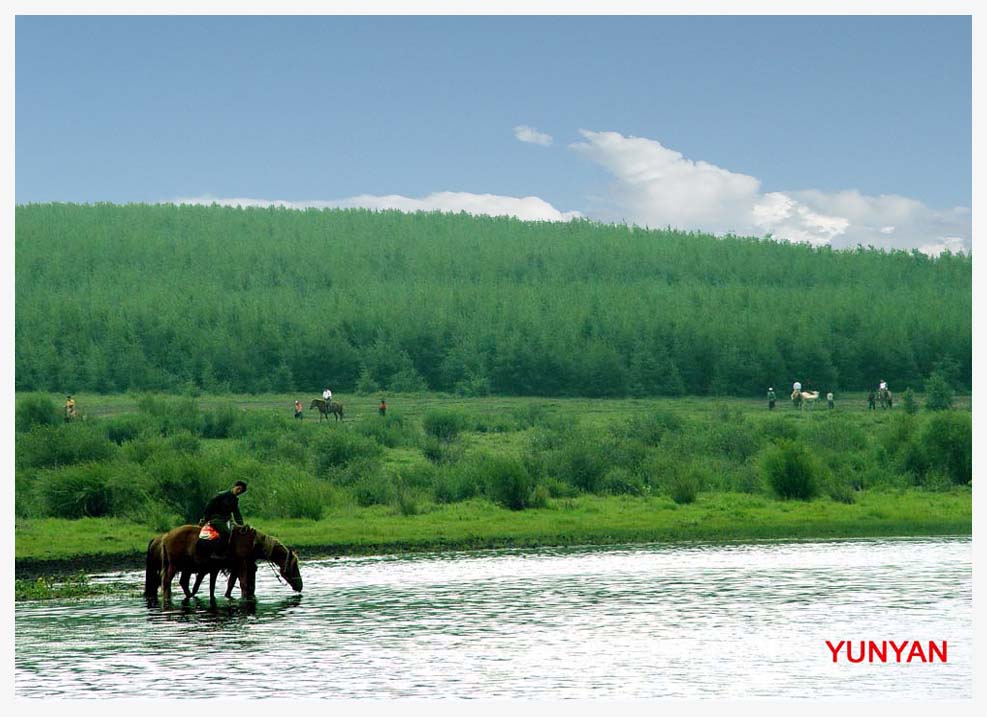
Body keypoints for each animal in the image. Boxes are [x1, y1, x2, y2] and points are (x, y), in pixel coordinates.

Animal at [145, 524, 302, 600]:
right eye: (294, 566)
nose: (300, 586)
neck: (251, 543)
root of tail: (165, 537)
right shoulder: (241, 564)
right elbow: (243, 584)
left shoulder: (235, 567)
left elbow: (231, 584)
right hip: (174, 565)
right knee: (166, 582)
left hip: (186, 568)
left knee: (182, 583)